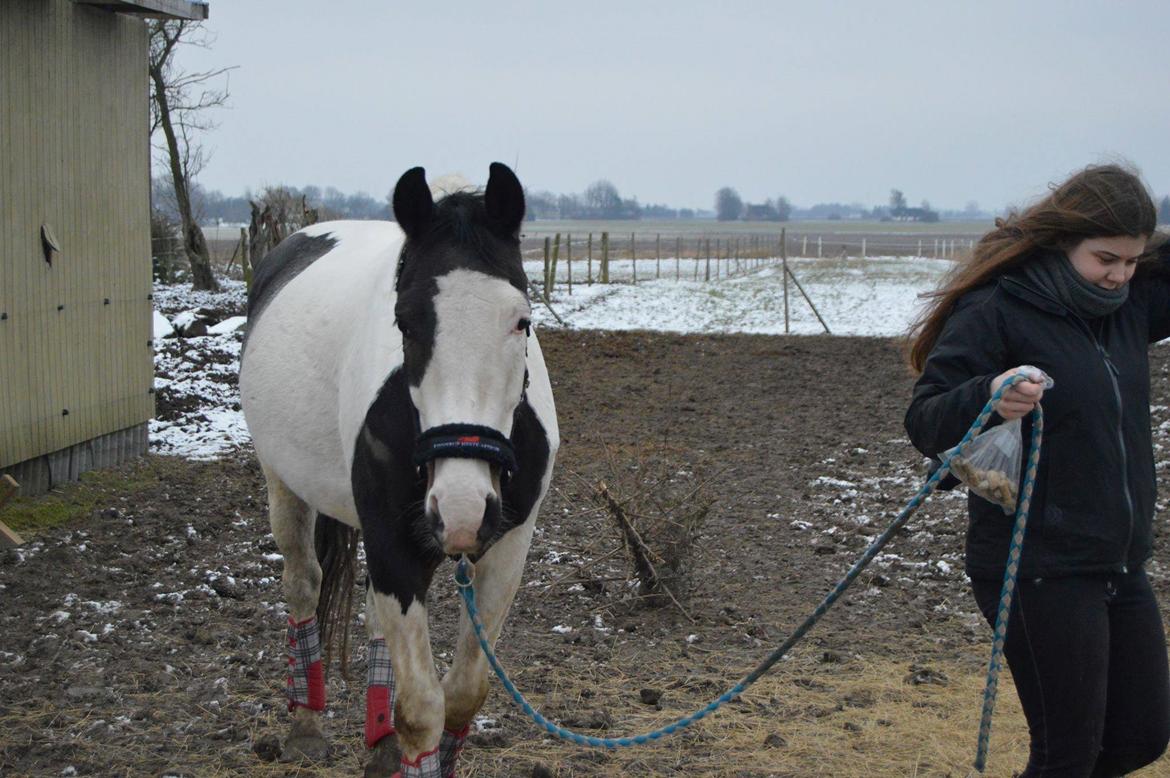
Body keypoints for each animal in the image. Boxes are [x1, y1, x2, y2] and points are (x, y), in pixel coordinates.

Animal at [237, 163, 556, 776]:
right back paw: (306, 725)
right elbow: (421, 711)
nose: (461, 510)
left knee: (370, 616)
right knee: (303, 585)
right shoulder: (393, 541)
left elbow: (464, 694)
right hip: (283, 484)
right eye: (404, 322)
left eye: (522, 321)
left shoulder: (509, 547)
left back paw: (379, 741)